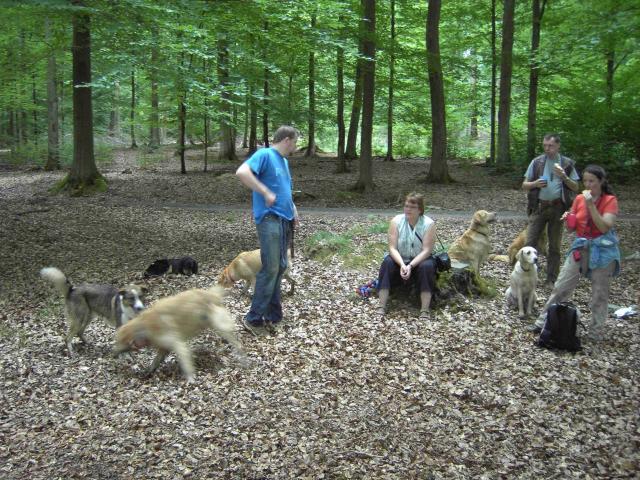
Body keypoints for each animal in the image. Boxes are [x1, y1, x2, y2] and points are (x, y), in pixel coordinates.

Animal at [112, 284, 242, 382]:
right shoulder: (162, 345)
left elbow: (183, 356)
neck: (143, 327)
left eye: (120, 342)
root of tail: (212, 294)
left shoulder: (174, 342)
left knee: (234, 340)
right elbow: (157, 359)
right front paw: (149, 371)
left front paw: (190, 377)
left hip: (218, 322)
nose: (113, 353)